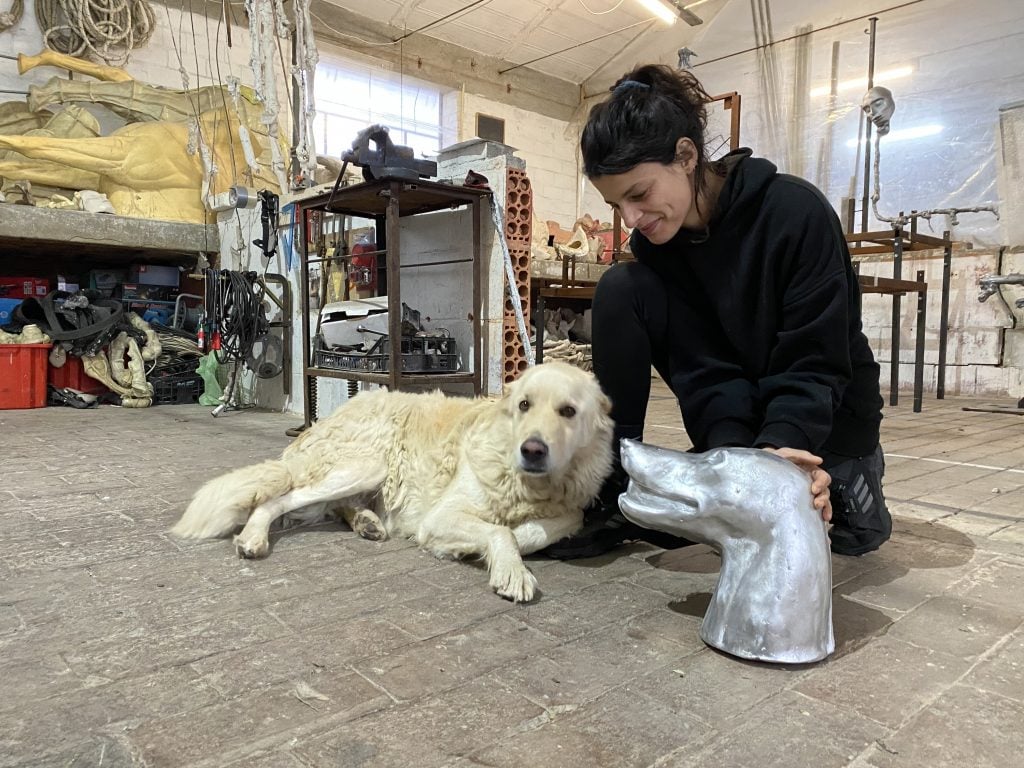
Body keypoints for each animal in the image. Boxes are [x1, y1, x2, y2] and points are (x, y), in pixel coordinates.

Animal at [172, 364, 610, 606]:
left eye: (568, 411)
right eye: (524, 405)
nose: (532, 450)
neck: (530, 486)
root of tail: (324, 419)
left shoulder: (570, 510)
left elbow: (534, 530)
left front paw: (486, 550)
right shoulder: (440, 515)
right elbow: (499, 531)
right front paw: (507, 568)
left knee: (336, 505)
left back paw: (367, 522)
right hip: (365, 464)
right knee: (280, 498)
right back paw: (253, 538)